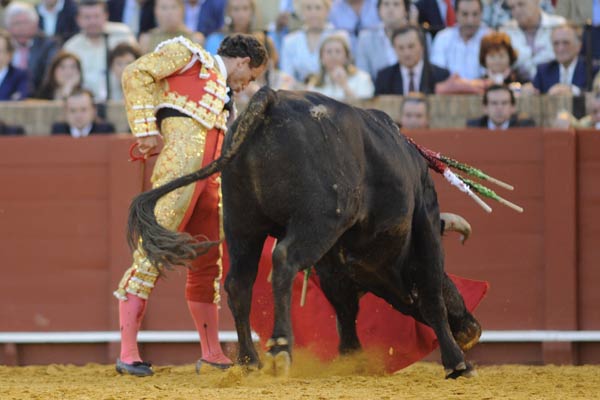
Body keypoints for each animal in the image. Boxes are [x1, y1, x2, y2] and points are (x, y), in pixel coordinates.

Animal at [127, 87, 482, 378]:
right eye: (451, 278)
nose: (473, 329)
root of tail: (271, 98)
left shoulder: (332, 262)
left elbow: (345, 309)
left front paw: (352, 360)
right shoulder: (425, 223)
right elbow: (431, 294)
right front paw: (457, 363)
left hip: (242, 223)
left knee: (238, 283)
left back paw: (249, 360)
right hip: (319, 220)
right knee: (283, 259)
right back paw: (280, 348)